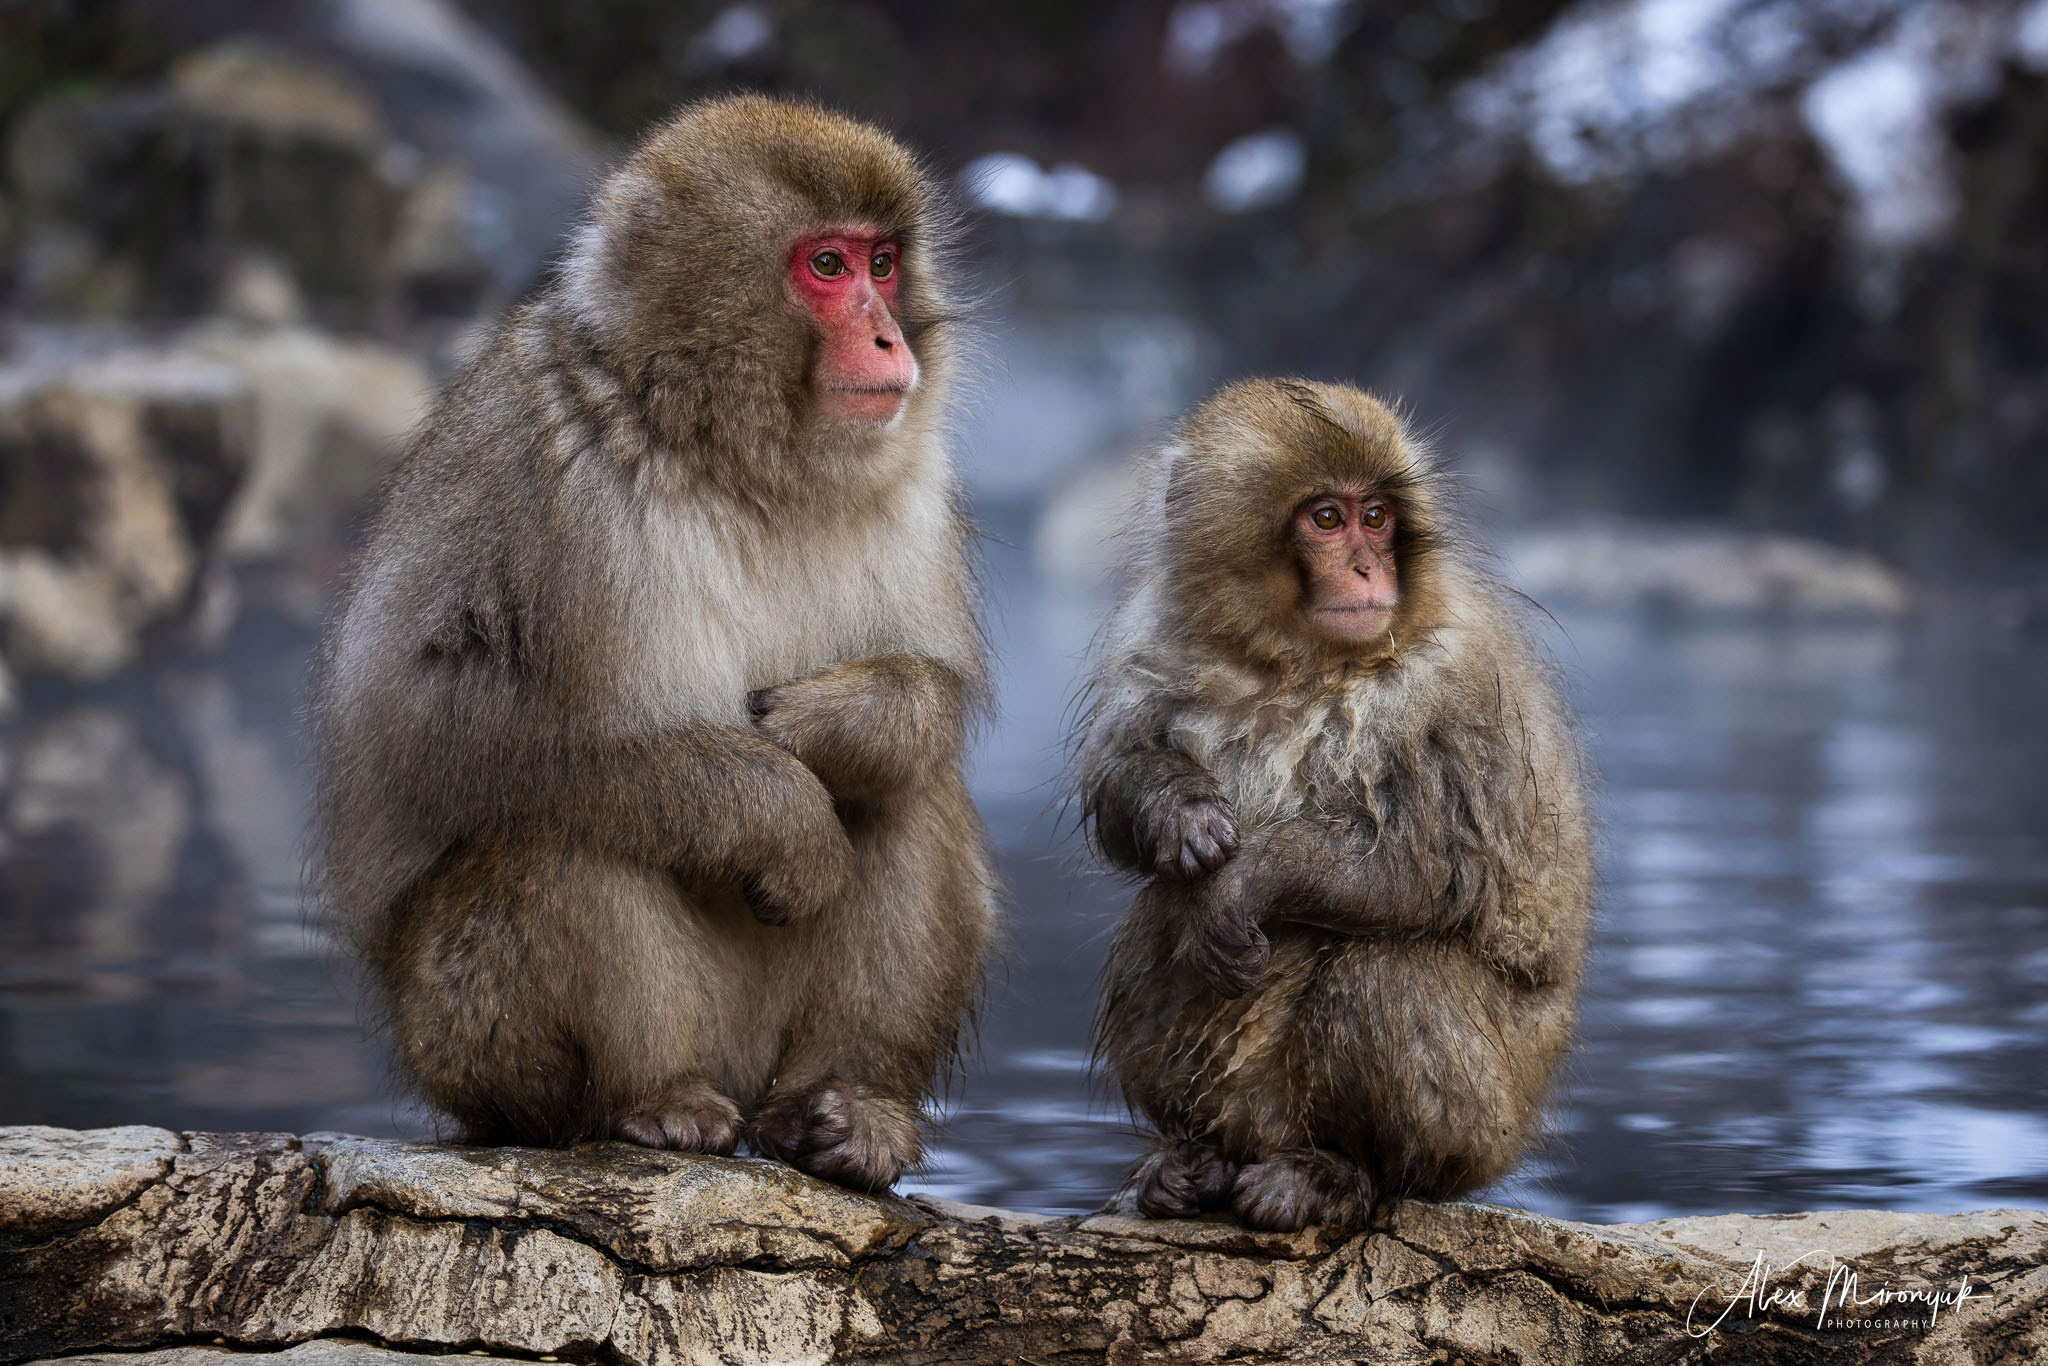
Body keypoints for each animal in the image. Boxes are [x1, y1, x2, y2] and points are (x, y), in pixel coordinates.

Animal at [308, 95, 995, 1193]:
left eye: (885, 263)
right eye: (827, 266)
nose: (890, 338)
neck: (727, 455)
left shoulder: (913, 484)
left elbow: (923, 699)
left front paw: (852, 723)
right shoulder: (542, 455)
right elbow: (430, 724)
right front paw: (781, 817)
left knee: (907, 793)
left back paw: (846, 1107)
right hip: (467, 1040)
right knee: (568, 820)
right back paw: (653, 1100)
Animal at [1074, 378, 1593, 1232]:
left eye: (1375, 517)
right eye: (1326, 518)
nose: (1365, 565)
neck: (1296, 661)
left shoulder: (1453, 684)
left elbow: (1431, 870)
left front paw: (1243, 882)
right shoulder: (1156, 636)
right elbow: (1121, 779)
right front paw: (1181, 816)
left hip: (1491, 1120)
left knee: (1387, 976)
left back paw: (1341, 1175)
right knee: (1157, 917)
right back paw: (1190, 1163)